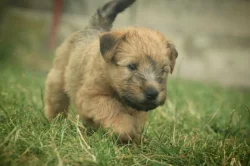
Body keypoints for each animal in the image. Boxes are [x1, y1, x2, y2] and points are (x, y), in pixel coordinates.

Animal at [45, 0, 178, 143]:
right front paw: (125, 129)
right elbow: (111, 107)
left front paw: (136, 139)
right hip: (58, 78)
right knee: (56, 101)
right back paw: (55, 122)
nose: (152, 93)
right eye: (132, 66)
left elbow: (136, 119)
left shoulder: (137, 107)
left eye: (164, 70)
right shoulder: (90, 96)